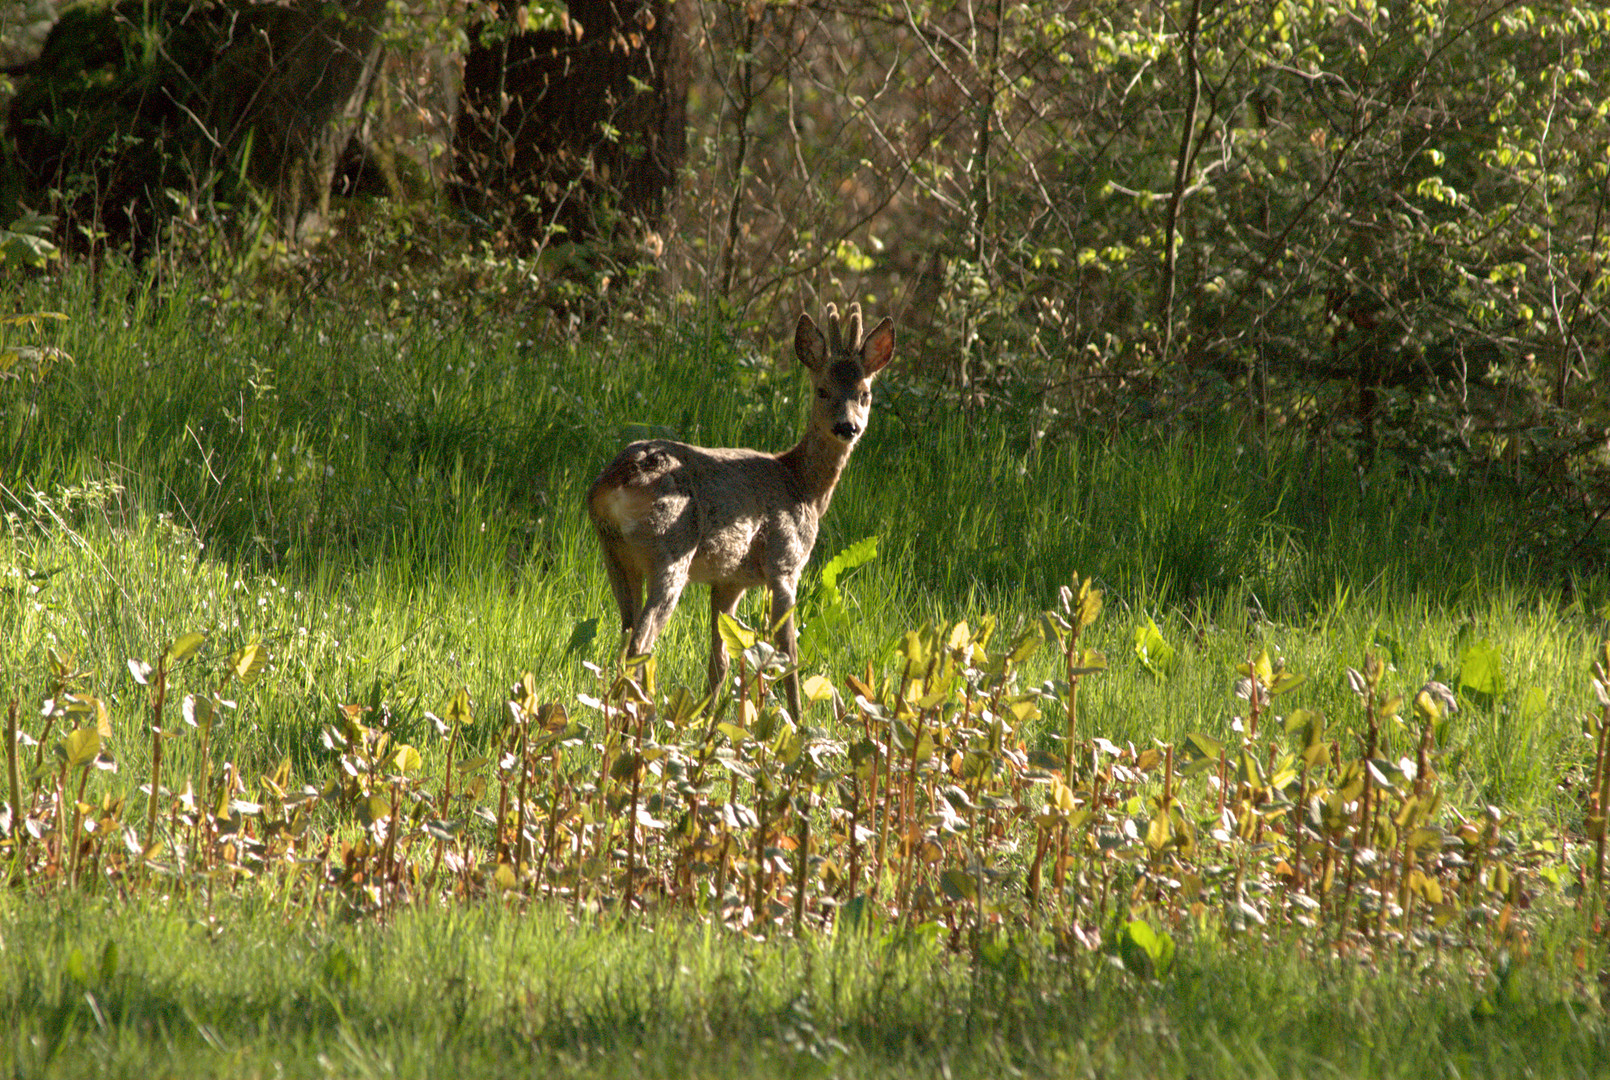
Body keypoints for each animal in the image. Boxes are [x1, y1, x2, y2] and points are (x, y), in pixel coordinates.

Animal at [589, 299, 901, 717]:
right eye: (822, 390)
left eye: (865, 394)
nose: (847, 427)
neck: (803, 486)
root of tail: (613, 482)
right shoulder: (783, 562)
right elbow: (789, 656)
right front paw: (797, 720)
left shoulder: (730, 580)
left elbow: (720, 660)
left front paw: (706, 719)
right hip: (670, 550)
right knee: (641, 643)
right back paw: (642, 719)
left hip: (614, 553)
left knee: (626, 635)